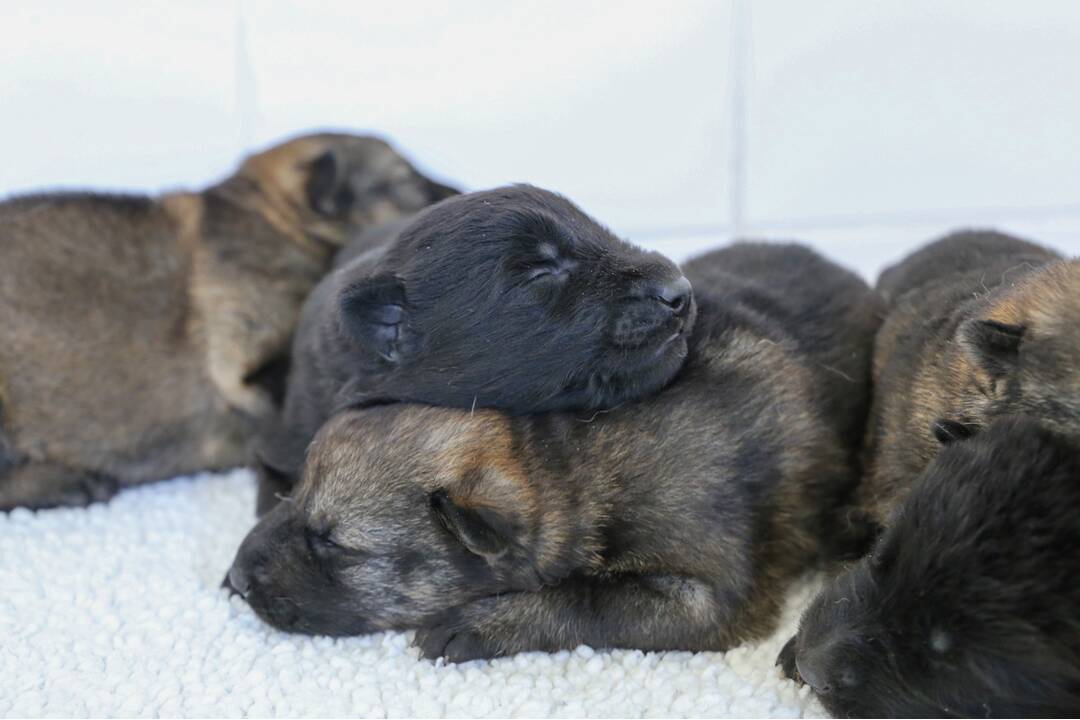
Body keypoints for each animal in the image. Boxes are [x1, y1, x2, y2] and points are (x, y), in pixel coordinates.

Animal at [225, 245, 876, 660]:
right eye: (293, 499)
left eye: (331, 544)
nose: (233, 579)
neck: (567, 456)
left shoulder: (708, 595)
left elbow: (589, 599)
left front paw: (481, 623)